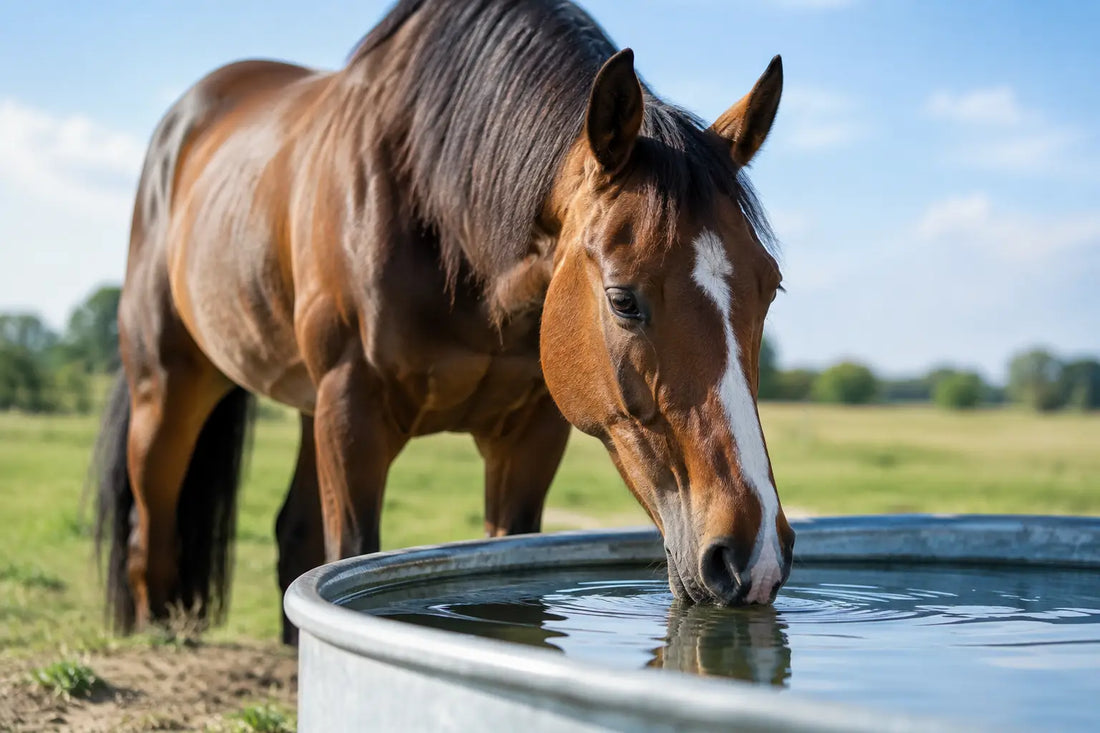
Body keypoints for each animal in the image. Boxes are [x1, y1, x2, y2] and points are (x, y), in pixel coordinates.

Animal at [92, 0, 794, 645]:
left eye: (771, 288)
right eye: (623, 299)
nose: (751, 554)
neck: (437, 209)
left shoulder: (529, 436)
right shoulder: (353, 412)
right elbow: (350, 553)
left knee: (291, 535)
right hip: (172, 386)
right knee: (150, 525)